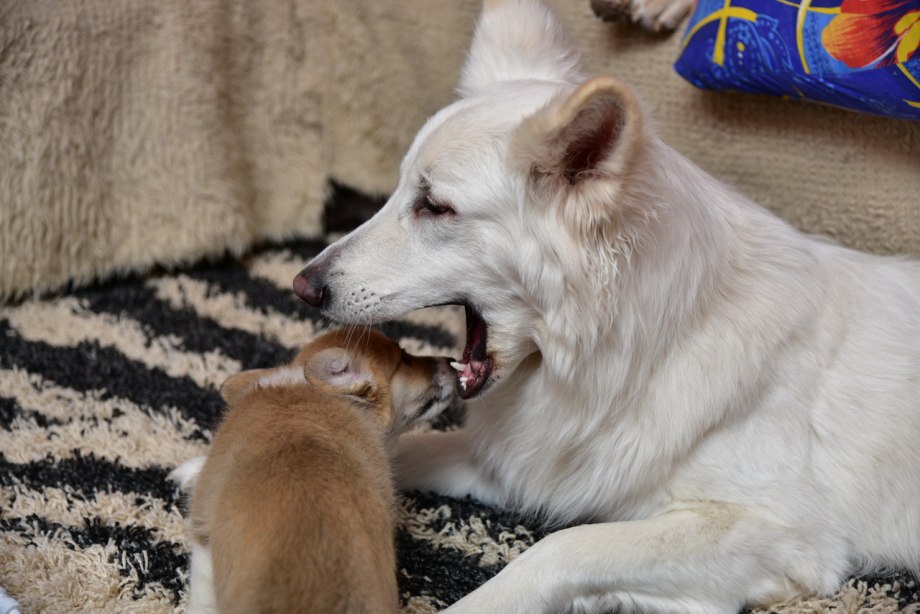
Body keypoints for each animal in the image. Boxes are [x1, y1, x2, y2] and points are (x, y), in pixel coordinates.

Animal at [294, 2, 920, 612]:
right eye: (401, 190)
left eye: (435, 207)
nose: (303, 286)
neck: (650, 343)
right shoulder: (527, 466)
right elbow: (395, 452)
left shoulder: (774, 530)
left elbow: (558, 548)